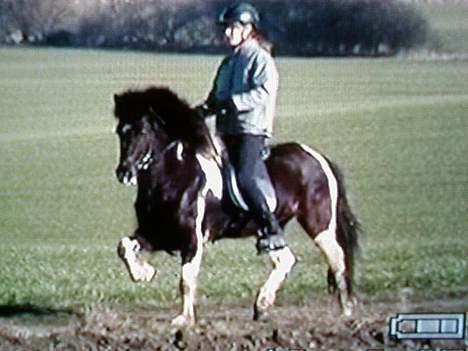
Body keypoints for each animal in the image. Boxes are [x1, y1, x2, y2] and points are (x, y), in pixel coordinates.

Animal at [111, 86, 360, 328]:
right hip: (270, 231)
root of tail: (319, 159)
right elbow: (124, 246)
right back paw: (262, 307)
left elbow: (186, 279)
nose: (124, 172)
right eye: (120, 132)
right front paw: (144, 273)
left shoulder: (192, 239)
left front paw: (184, 319)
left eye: (142, 131)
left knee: (338, 260)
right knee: (286, 259)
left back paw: (346, 313)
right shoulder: (156, 232)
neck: (175, 176)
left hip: (320, 225)